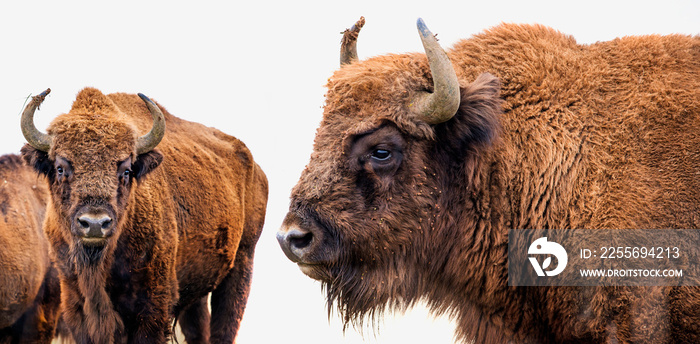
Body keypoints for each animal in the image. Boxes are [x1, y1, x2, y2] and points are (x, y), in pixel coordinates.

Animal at [19, 88, 268, 344]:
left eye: (126, 170)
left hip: (242, 262)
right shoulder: (76, 304)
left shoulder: (152, 307)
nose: (95, 224)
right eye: (60, 168)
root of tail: (256, 168)